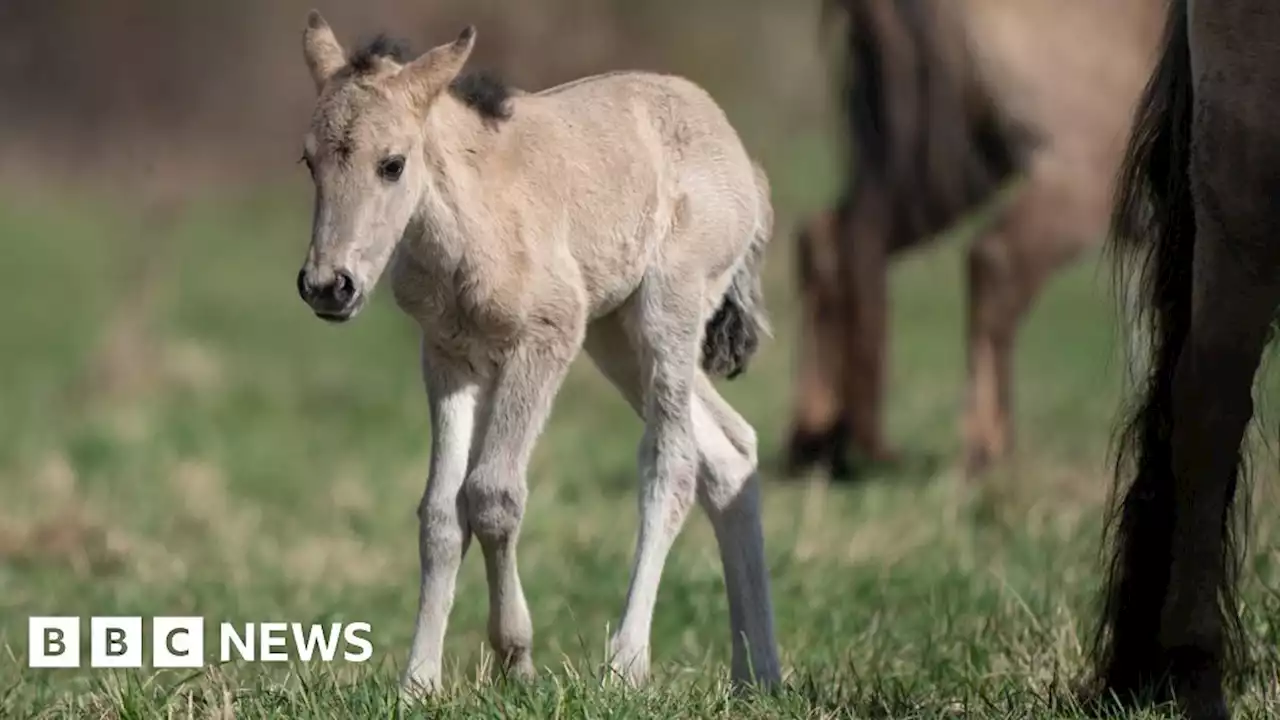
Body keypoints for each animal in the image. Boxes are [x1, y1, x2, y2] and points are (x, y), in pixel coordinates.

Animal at [293, 12, 778, 691]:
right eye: (309, 161)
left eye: (392, 164)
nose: (327, 286)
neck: (472, 217)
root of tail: (742, 162)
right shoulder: (447, 357)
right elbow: (441, 514)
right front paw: (418, 681)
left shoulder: (545, 340)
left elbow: (494, 495)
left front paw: (516, 659)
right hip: (615, 336)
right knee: (730, 454)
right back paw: (758, 673)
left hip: (669, 312)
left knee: (673, 463)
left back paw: (627, 664)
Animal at [783, 0, 1167, 479]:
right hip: (1075, 171)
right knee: (995, 263)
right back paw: (986, 447)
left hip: (945, 159)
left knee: (828, 239)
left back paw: (816, 438)